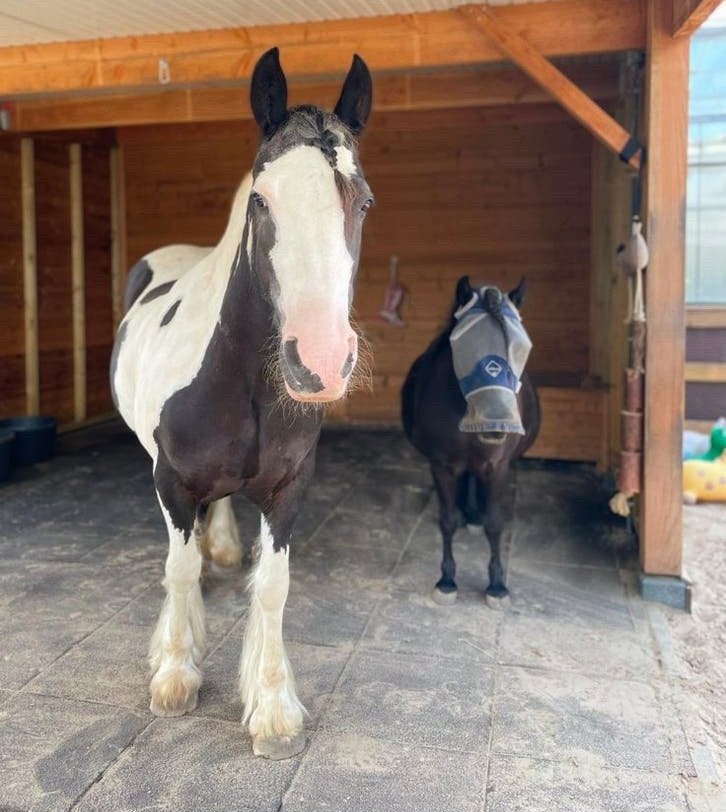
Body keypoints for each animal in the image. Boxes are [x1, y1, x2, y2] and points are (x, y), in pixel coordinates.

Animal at [109, 47, 373, 760]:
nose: (319, 361)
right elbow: (176, 569)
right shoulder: (170, 479)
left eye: (362, 201)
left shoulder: (289, 488)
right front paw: (175, 672)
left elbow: (273, 587)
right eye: (261, 199)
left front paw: (273, 707)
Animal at [401, 275, 540, 607]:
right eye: (463, 345)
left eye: (522, 347)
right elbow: (447, 520)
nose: (497, 423)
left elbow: (495, 523)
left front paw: (497, 585)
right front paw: (447, 580)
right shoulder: (441, 465)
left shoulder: (498, 465)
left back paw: (473, 517)